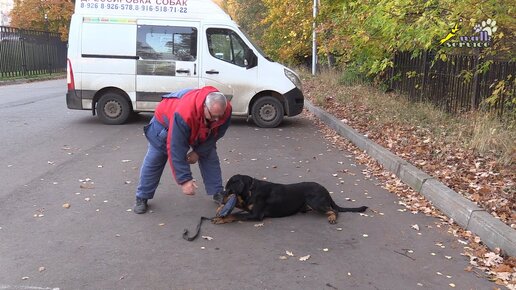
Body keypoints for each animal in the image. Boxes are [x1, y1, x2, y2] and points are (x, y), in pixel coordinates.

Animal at [213, 174, 366, 224]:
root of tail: (325, 190)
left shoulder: (256, 214)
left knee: (334, 210)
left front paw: (221, 218)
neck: (251, 190)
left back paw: (332, 218)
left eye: (229, 190)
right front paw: (220, 210)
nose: (218, 196)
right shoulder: (248, 206)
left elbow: (235, 215)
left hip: (316, 202)